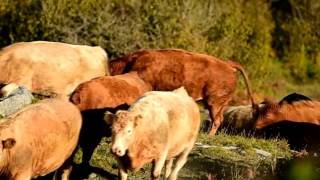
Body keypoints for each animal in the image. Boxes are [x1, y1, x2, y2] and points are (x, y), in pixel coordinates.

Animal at [109, 48, 256, 135]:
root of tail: (228, 64)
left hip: (214, 102)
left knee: (217, 119)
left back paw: (208, 136)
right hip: (218, 104)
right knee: (220, 119)